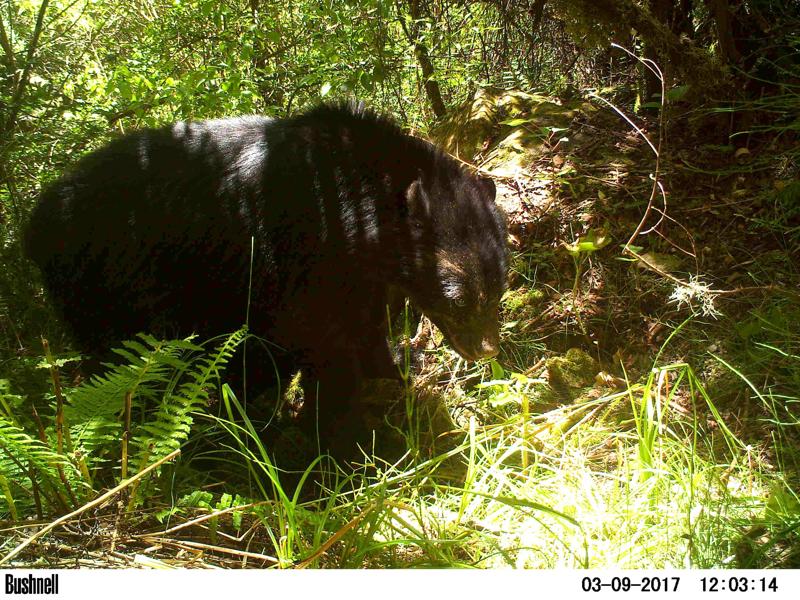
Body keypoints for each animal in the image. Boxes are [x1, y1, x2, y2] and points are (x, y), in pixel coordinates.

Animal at [24, 102, 507, 444]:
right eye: (459, 299)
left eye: (499, 288)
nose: (486, 350)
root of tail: (36, 223)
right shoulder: (301, 255)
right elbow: (320, 341)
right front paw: (342, 438)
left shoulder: (362, 275)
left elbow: (366, 325)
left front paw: (392, 377)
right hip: (114, 282)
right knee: (129, 364)